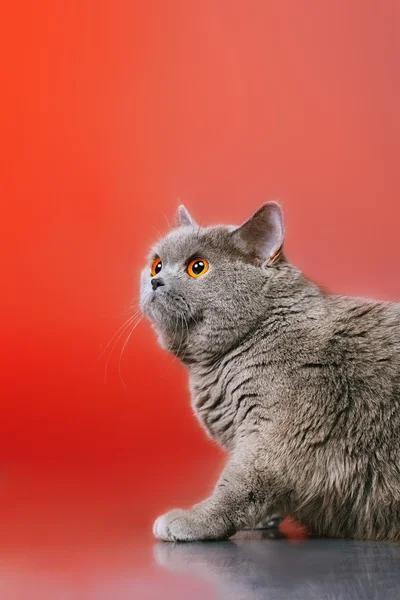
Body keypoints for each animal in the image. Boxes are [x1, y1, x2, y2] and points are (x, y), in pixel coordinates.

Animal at [140, 203, 400, 544]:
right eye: (156, 265)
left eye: (198, 267)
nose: (156, 281)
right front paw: (265, 519)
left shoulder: (276, 432)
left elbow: (238, 484)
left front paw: (194, 520)